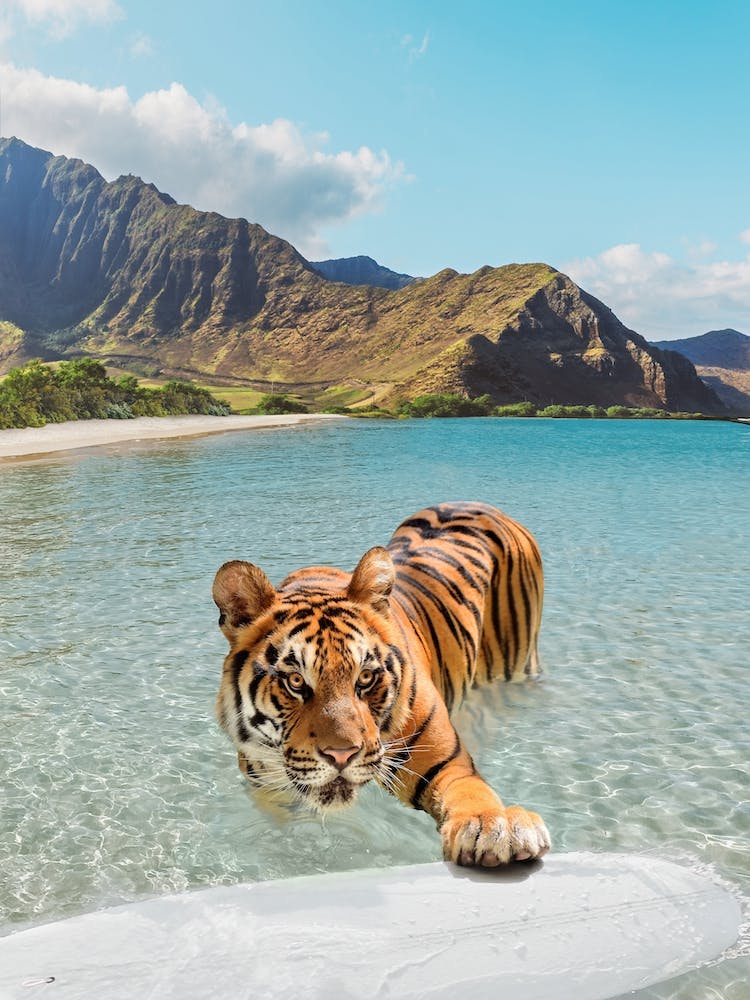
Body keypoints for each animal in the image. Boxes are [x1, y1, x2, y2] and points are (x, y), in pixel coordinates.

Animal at [212, 501, 550, 866]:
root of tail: (480, 504)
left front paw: (494, 827)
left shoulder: (448, 763)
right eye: (296, 681)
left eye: (365, 677)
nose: (341, 756)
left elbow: (470, 791)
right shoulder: (268, 787)